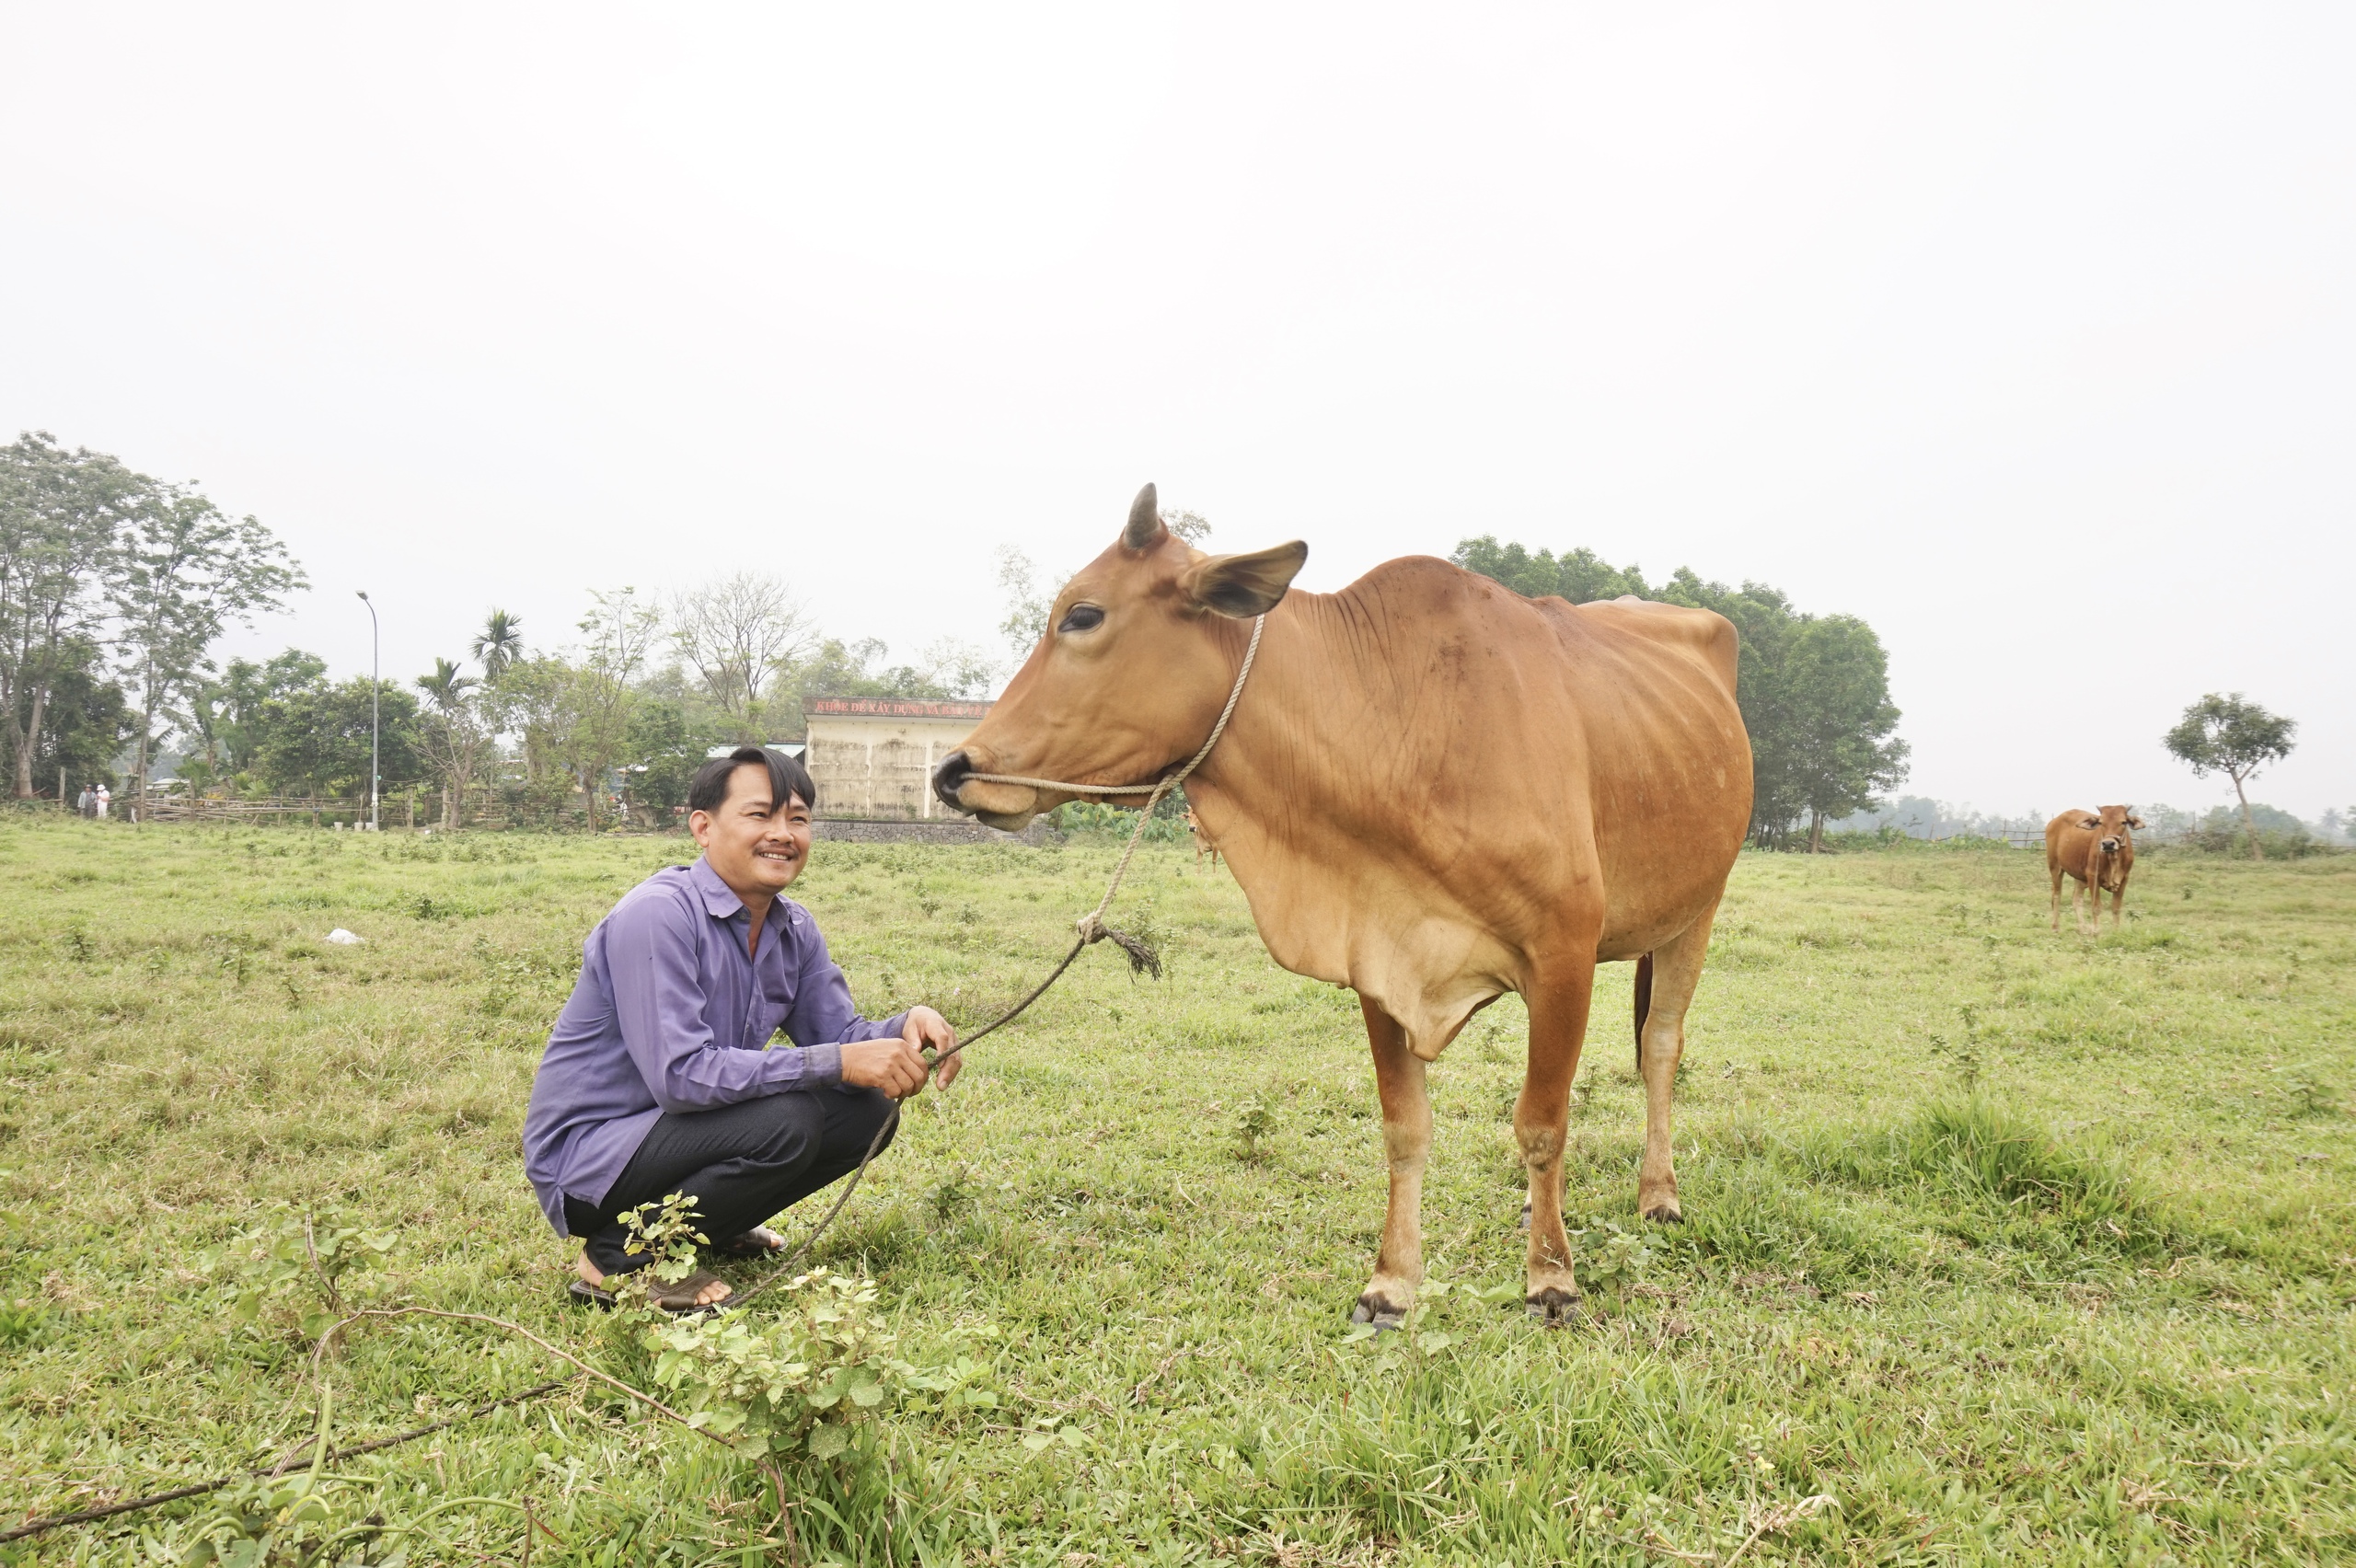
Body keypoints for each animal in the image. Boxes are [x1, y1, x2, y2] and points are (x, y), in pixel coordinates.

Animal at [937, 485, 1752, 1318]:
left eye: (1082, 615)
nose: (953, 770)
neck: (1403, 729)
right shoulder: (1380, 960)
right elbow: (1406, 1128)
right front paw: (1392, 1284)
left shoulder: (1563, 954)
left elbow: (1542, 1122)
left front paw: (1551, 1278)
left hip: (1698, 910)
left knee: (1659, 1046)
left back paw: (1658, 1194)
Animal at [2054, 805, 2148, 928]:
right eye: (2101, 822)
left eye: (2123, 822)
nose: (2108, 844)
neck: (2113, 860)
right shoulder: (2092, 876)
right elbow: (2096, 908)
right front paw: (2096, 931)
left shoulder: (2124, 878)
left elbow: (2116, 908)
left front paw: (2116, 930)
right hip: (2055, 867)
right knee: (2056, 897)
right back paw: (2055, 928)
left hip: (2079, 877)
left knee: (2077, 900)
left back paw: (2083, 929)